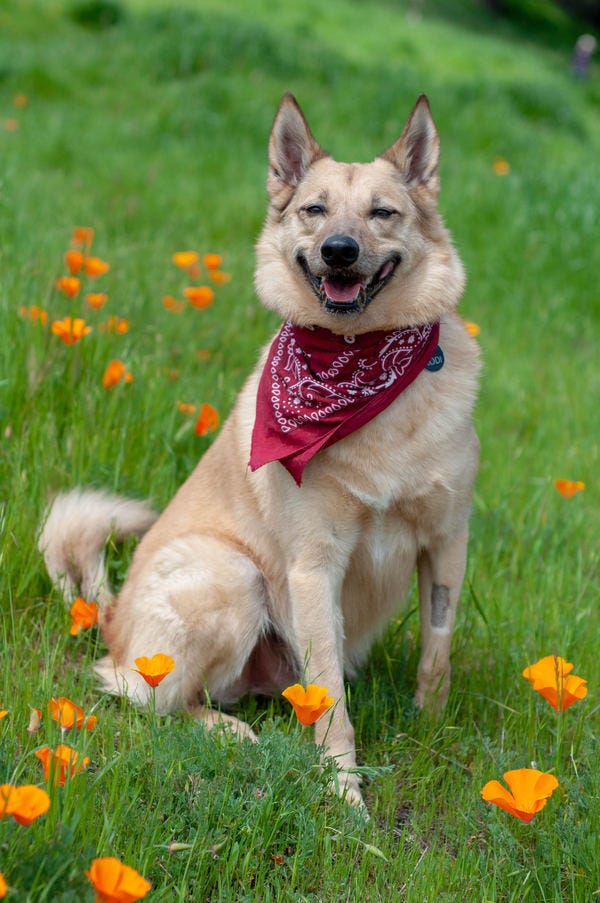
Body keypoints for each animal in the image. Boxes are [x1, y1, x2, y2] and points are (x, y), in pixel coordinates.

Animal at [38, 95, 478, 808]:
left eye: (382, 213)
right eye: (315, 209)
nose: (338, 251)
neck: (356, 366)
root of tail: (112, 616)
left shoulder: (446, 543)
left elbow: (435, 653)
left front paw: (431, 724)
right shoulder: (312, 567)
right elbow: (332, 704)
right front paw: (346, 795)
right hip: (233, 576)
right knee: (151, 697)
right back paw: (230, 734)